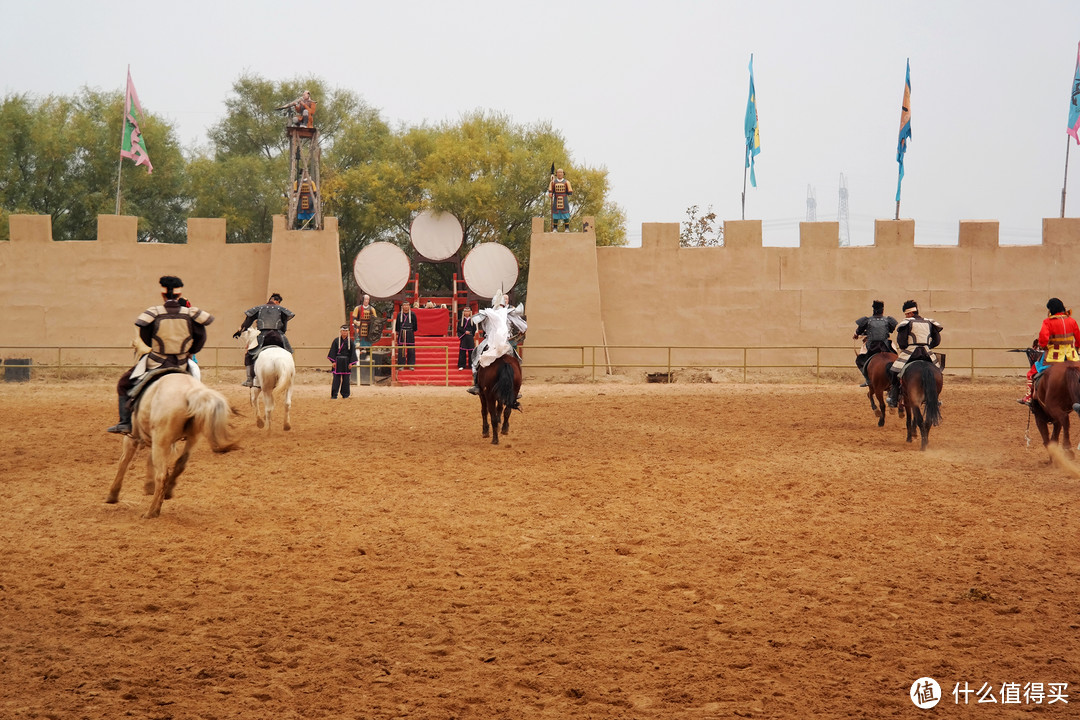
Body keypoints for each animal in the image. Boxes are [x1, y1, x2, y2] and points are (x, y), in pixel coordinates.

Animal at [105, 371, 236, 518]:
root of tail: (190, 391)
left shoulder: (132, 439)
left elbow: (123, 462)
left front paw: (112, 495)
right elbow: (149, 460)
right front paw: (149, 486)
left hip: (160, 440)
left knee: (162, 475)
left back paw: (152, 512)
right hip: (193, 437)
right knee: (180, 464)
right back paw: (165, 494)